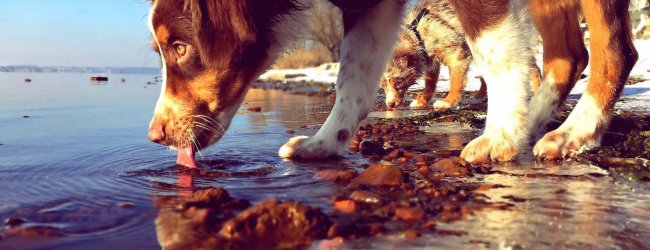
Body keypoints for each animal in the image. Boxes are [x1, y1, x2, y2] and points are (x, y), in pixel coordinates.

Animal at [146, 0, 632, 166]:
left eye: (181, 49)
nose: (155, 135)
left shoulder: (455, 48)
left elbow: (491, 52)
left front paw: (498, 139)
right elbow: (352, 77)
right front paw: (323, 144)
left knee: (614, 50)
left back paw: (574, 132)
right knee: (570, 55)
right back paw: (536, 122)